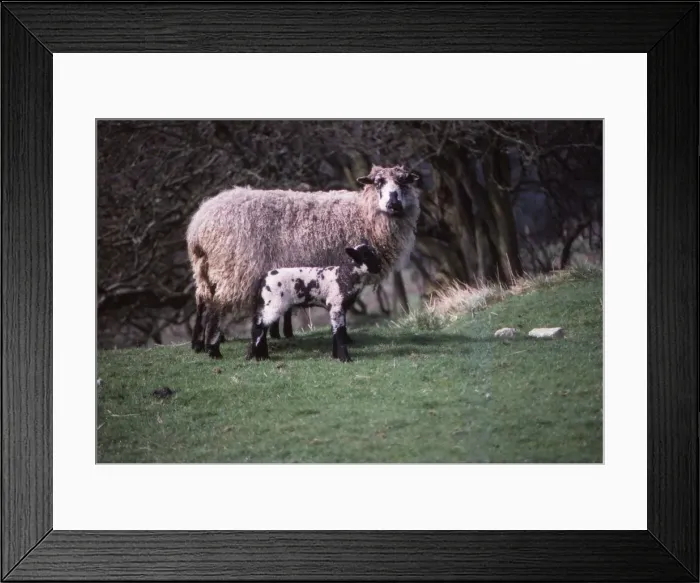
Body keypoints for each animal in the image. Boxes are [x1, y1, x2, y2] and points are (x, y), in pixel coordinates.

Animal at [246, 243, 382, 363]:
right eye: (365, 256)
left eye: (375, 253)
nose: (379, 267)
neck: (345, 275)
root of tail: (264, 278)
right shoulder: (336, 306)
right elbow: (339, 332)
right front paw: (345, 359)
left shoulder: (338, 308)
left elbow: (337, 331)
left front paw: (335, 356)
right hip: (273, 304)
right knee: (258, 328)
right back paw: (256, 356)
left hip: (266, 305)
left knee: (260, 327)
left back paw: (262, 356)